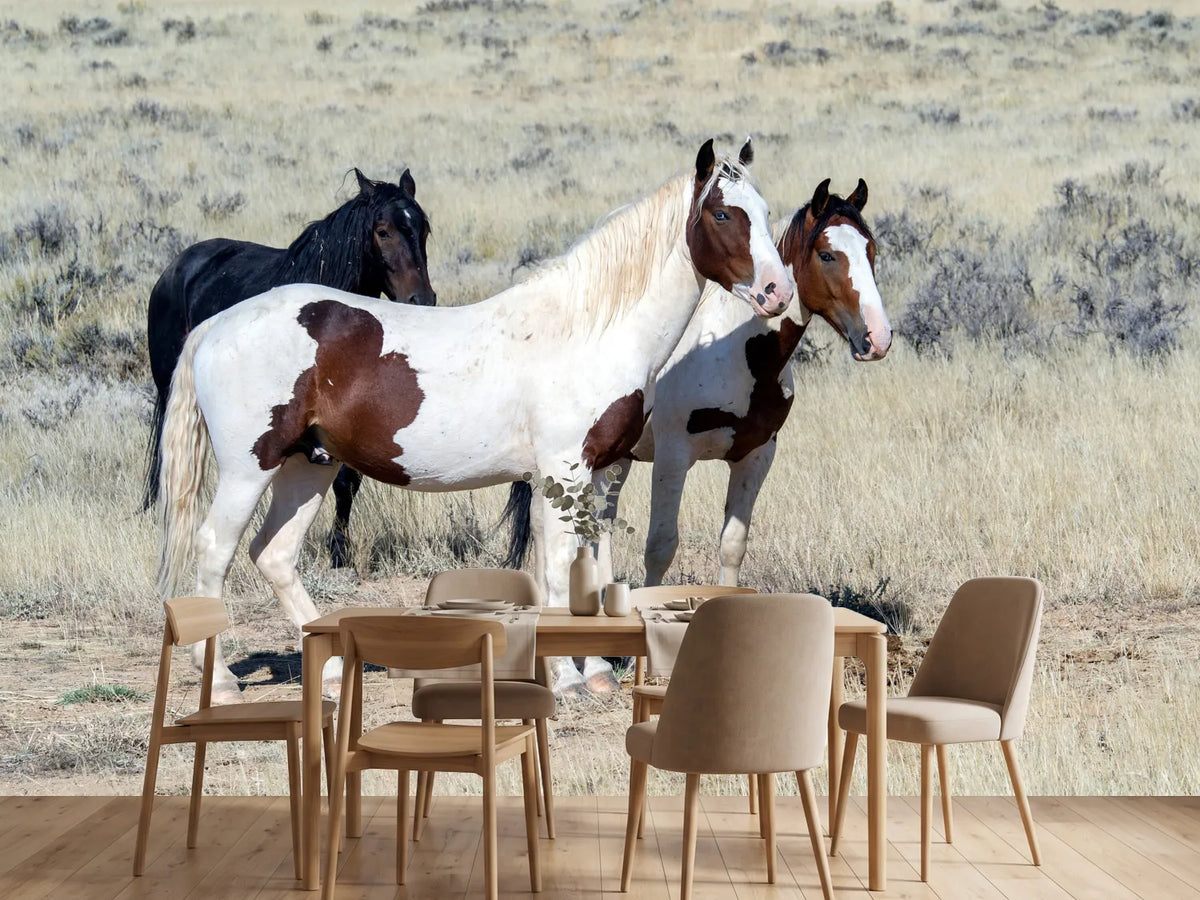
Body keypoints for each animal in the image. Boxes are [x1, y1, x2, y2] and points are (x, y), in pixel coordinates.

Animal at [142, 168, 436, 568]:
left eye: (423, 228)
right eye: (382, 230)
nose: (422, 299)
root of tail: (177, 267)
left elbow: (348, 482)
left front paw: (339, 550)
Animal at [503, 178, 890, 589]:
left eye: (871, 250)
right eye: (827, 255)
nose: (878, 337)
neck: (738, 355)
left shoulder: (756, 455)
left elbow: (733, 545)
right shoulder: (673, 456)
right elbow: (660, 546)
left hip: (615, 458)